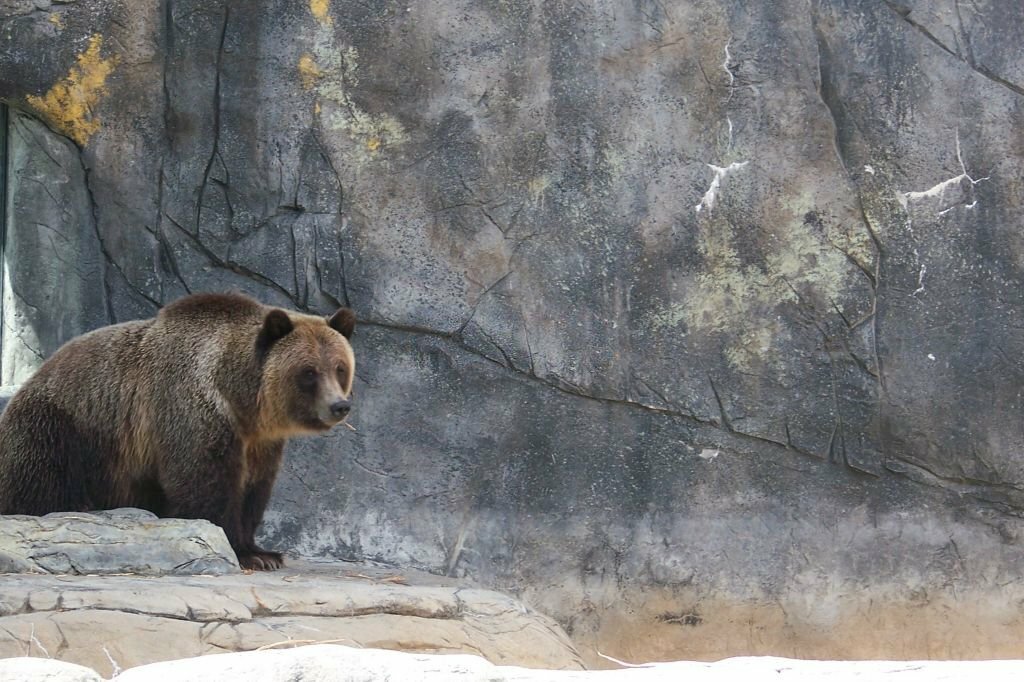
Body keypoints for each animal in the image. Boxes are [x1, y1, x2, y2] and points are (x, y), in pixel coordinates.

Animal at [0, 292, 356, 569]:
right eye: (308, 372)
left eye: (340, 367)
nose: (339, 406)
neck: (239, 401)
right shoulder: (191, 410)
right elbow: (204, 482)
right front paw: (241, 551)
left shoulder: (259, 442)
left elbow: (254, 490)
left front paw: (264, 552)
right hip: (61, 428)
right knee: (38, 482)